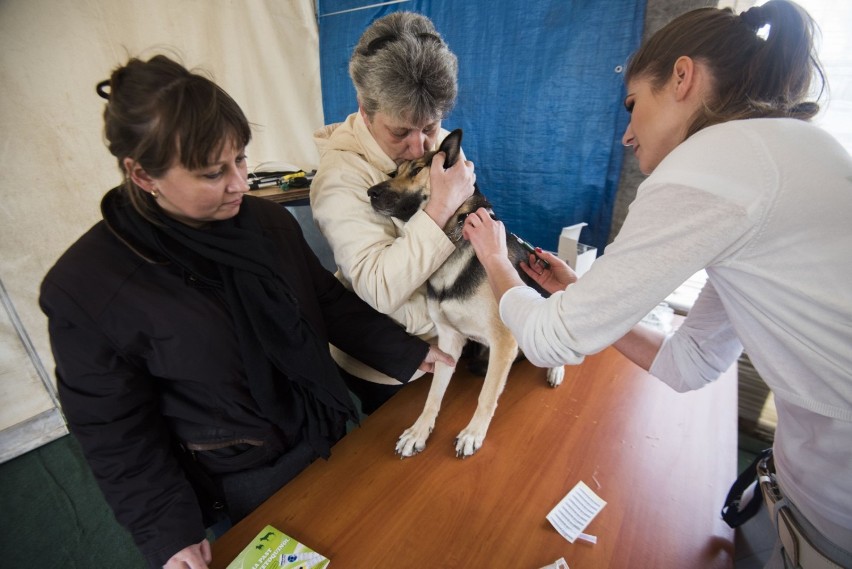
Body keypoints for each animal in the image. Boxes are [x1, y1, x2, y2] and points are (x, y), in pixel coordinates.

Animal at [368, 129, 564, 458]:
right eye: (394, 172)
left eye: (417, 170)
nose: (370, 192)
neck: (453, 240)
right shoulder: (449, 340)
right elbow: (434, 394)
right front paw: (419, 431)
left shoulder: (503, 341)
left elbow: (487, 395)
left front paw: (473, 433)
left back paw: (556, 370)